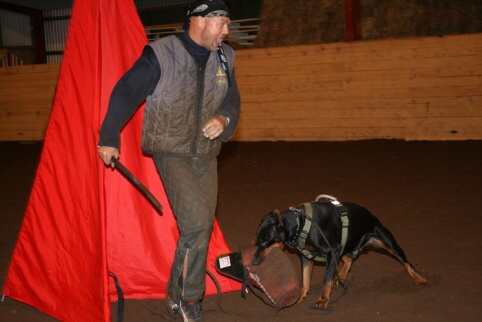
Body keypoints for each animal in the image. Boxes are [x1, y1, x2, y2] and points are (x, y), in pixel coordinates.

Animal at [250, 195, 428, 308]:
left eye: (265, 241)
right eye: (256, 241)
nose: (254, 262)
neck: (301, 224)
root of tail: (371, 215)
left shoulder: (332, 251)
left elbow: (325, 280)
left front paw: (323, 299)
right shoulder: (306, 256)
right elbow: (305, 279)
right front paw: (301, 296)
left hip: (387, 242)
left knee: (406, 263)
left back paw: (419, 279)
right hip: (347, 247)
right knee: (349, 260)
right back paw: (340, 276)